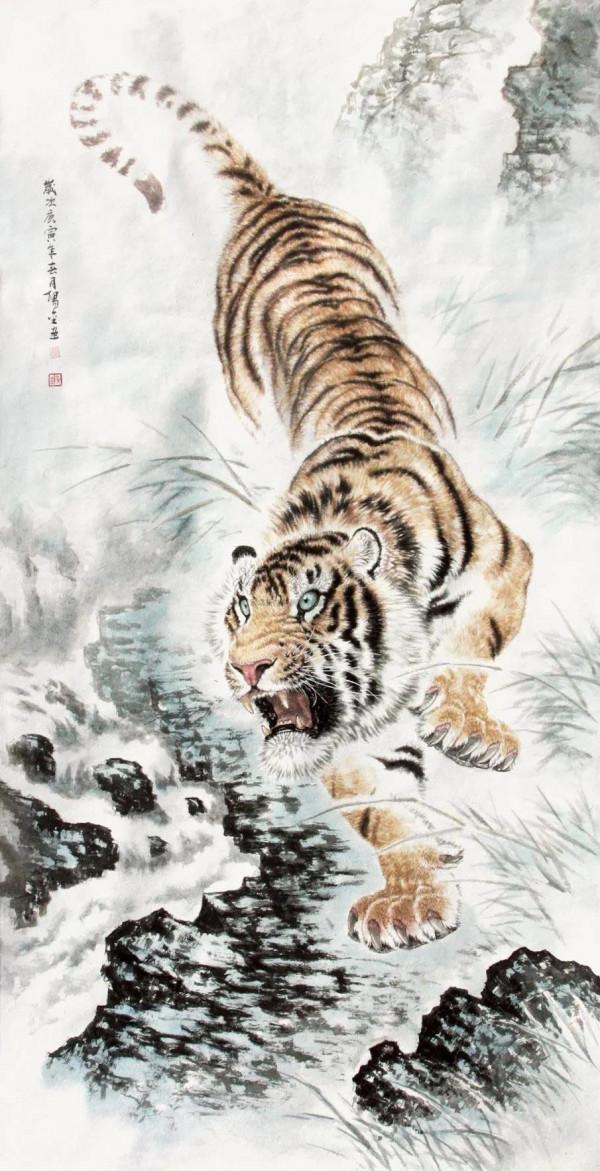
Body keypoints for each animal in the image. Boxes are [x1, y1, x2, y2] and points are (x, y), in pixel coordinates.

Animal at [71, 72, 533, 952]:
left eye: (312, 604)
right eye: (238, 613)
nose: (245, 669)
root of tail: (270, 196)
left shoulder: (507, 559)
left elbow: (473, 645)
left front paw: (465, 727)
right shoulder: (343, 726)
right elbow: (377, 802)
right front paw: (412, 896)